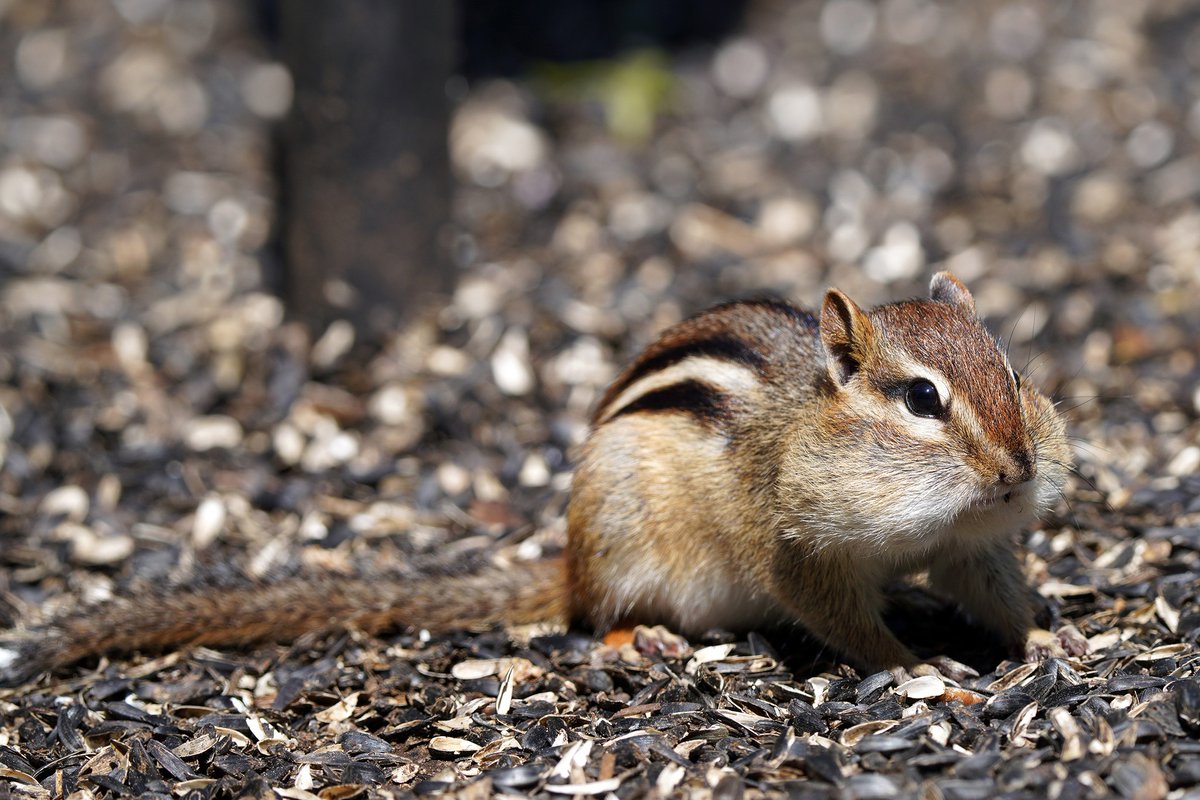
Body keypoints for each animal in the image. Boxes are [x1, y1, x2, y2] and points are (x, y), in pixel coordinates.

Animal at [0, 272, 1081, 687]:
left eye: (1012, 372)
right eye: (921, 398)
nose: (1019, 468)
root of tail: (566, 557)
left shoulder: (974, 540)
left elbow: (990, 585)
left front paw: (1042, 639)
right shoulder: (799, 549)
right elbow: (842, 618)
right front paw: (916, 661)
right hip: (632, 547)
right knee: (591, 614)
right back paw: (642, 635)